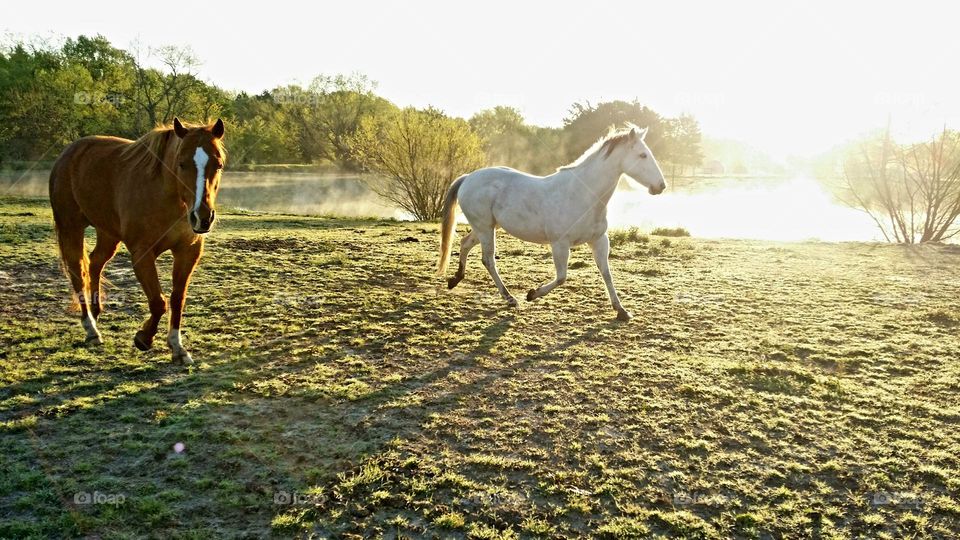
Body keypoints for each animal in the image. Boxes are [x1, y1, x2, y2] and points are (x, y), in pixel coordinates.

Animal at [50, 118, 227, 362]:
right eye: (181, 164)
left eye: (218, 165)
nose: (203, 217)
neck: (165, 196)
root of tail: (67, 154)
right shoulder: (142, 254)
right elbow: (159, 302)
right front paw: (144, 338)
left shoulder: (188, 251)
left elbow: (177, 299)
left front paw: (177, 347)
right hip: (71, 229)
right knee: (78, 272)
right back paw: (91, 329)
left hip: (108, 234)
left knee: (95, 263)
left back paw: (96, 312)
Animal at [438, 124, 664, 320]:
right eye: (642, 155)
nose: (661, 186)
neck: (583, 194)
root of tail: (468, 178)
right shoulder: (560, 244)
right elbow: (562, 277)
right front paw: (532, 294)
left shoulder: (599, 241)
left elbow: (607, 274)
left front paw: (622, 311)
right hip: (485, 229)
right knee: (488, 259)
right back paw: (510, 298)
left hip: (486, 227)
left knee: (465, 244)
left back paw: (455, 279)